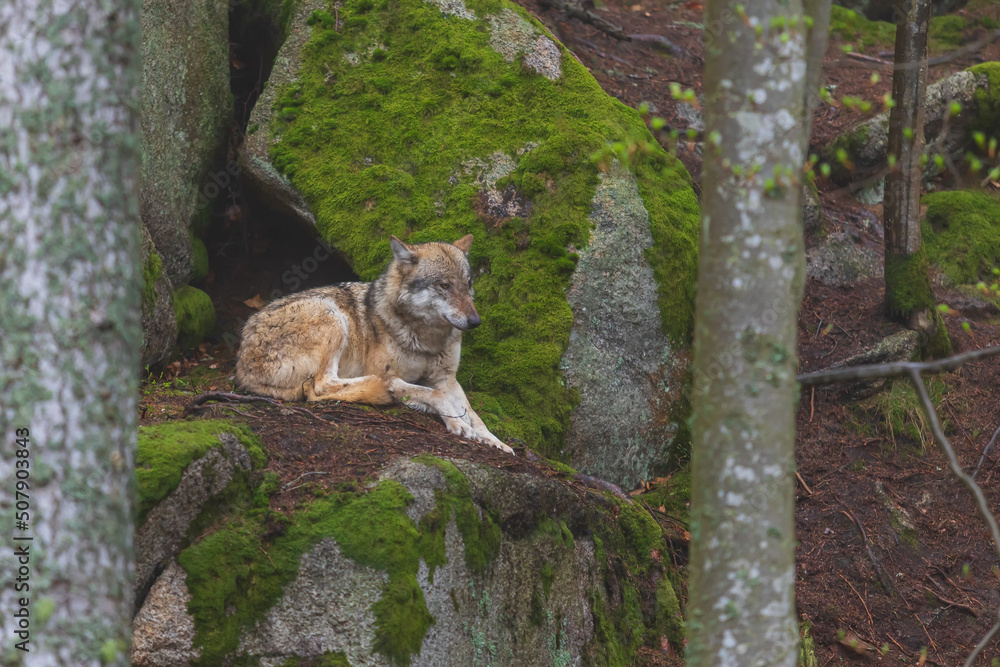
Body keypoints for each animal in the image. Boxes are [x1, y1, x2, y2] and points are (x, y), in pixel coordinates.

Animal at [235, 235, 514, 454]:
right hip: (331, 314)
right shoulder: (406, 376)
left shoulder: (446, 377)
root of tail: (241, 366)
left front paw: (495, 441)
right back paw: (379, 387)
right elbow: (435, 395)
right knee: (320, 387)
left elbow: (473, 413)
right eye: (445, 285)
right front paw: (459, 425)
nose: (475, 322)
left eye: (468, 285)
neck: (427, 339)